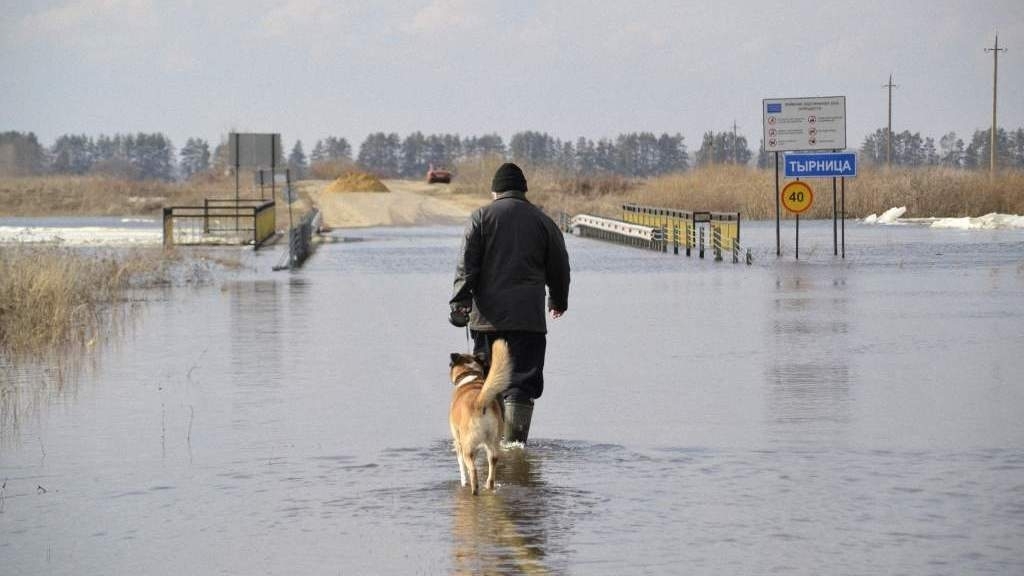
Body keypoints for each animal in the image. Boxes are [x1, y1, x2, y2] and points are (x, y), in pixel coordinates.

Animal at [448, 339, 512, 495]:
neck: (470, 377)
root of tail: (479, 402)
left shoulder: (458, 441)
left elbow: (462, 467)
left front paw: (463, 481)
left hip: (467, 446)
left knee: (472, 470)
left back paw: (474, 490)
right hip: (493, 442)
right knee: (493, 463)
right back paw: (489, 486)